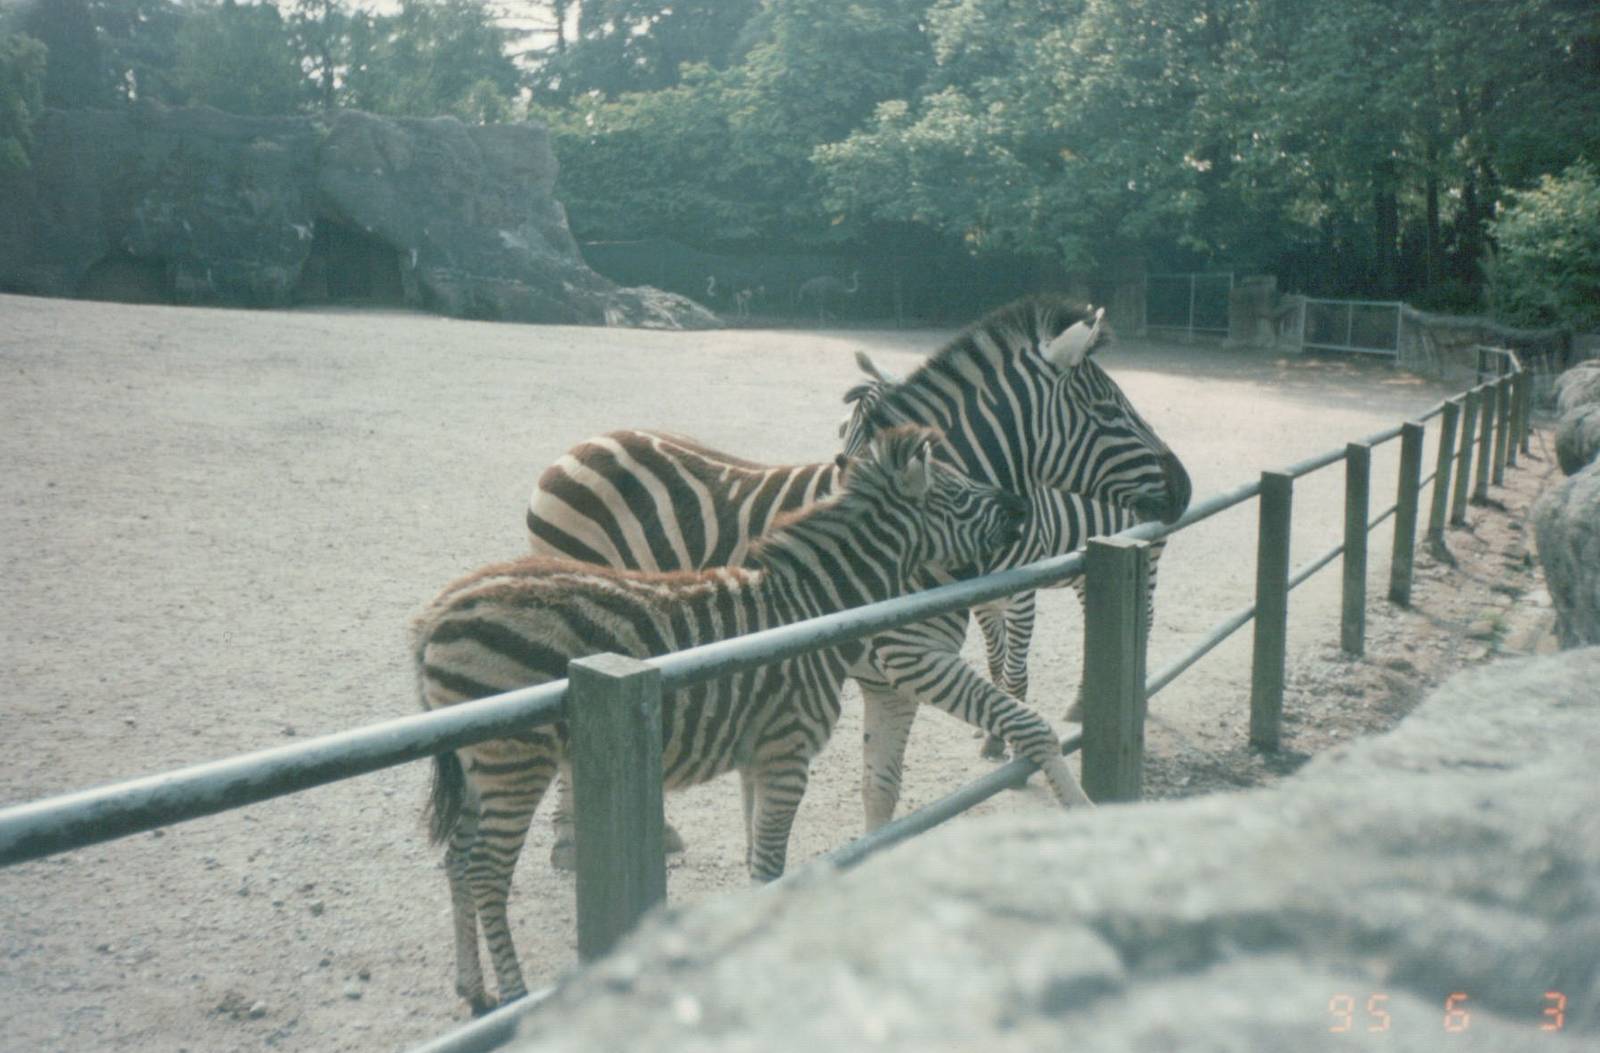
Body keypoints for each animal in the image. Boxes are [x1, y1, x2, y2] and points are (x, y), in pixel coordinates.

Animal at [415, 427, 1070, 1011]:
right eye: (957, 493)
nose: (1021, 507)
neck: (813, 607)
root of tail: (438, 613)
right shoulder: (787, 751)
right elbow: (772, 863)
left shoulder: (758, 754)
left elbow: (760, 855)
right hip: (515, 761)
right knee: (487, 873)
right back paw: (512, 996)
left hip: (476, 765)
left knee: (457, 860)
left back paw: (474, 991)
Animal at [524, 295, 1190, 850]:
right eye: (1107, 408)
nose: (1184, 486)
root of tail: (586, 443)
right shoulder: (910, 658)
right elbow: (1025, 720)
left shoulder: (892, 679)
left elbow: (883, 790)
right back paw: (571, 838)